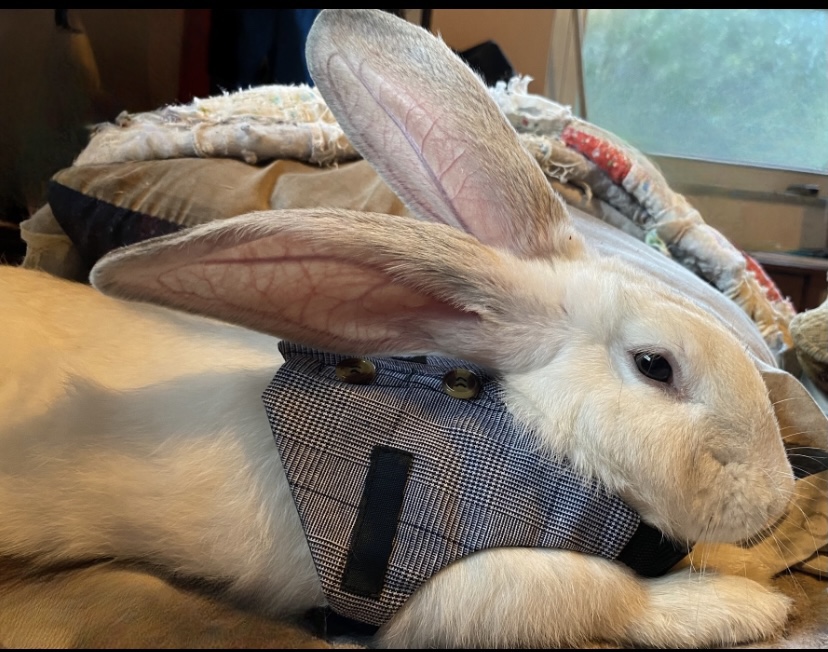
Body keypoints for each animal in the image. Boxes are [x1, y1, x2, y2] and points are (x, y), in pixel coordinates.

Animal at [0, 8, 815, 649]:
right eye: (655, 366)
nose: (777, 498)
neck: (533, 441)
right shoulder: (463, 585)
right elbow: (597, 591)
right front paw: (741, 604)